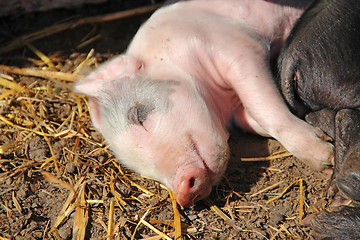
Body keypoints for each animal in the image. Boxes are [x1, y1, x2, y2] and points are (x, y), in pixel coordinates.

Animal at [74, 0, 334, 207]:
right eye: (138, 168)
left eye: (139, 116)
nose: (183, 193)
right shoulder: (238, 110)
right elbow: (257, 118)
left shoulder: (234, 46)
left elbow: (262, 104)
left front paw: (327, 157)